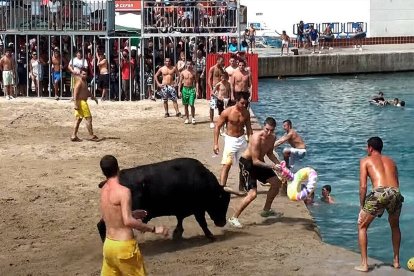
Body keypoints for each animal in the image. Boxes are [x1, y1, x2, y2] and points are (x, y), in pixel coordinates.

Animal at [98, 158, 231, 240]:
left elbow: (180, 219)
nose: (222, 223)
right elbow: (202, 223)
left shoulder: (182, 209)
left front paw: (177, 233)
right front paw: (211, 236)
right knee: (101, 225)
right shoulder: (198, 209)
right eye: (221, 202)